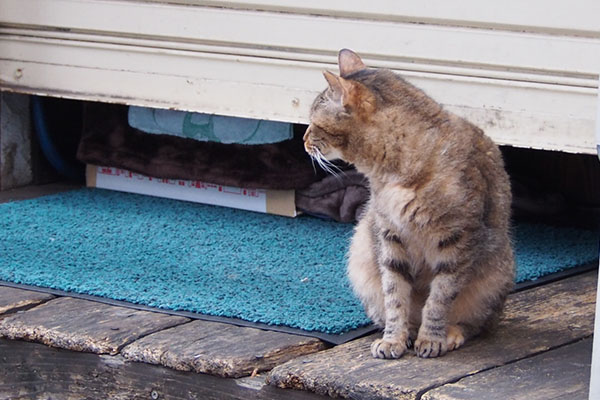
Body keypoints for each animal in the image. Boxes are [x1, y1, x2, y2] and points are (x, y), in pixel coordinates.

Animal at [304, 48, 516, 358]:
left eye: (314, 124)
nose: (303, 140)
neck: (390, 173)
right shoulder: (390, 237)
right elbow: (395, 297)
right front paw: (394, 339)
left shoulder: (456, 239)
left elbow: (440, 297)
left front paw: (432, 338)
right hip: (361, 256)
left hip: (494, 277)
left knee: (474, 323)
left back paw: (449, 333)